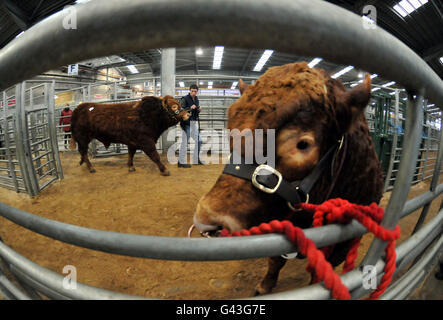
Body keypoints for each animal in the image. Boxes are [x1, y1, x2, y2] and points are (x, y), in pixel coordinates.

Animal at [194, 62, 386, 296]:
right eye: (232, 134)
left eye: (302, 144)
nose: (206, 219)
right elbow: (275, 260)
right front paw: (264, 286)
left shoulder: (343, 245)